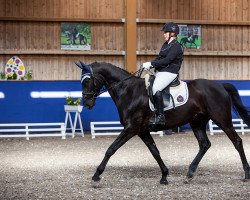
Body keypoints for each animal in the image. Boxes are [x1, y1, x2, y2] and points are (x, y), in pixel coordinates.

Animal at [74, 60, 250, 184]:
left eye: (87, 81)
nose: (87, 103)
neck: (128, 91)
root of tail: (220, 85)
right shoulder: (142, 130)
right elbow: (155, 151)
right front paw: (164, 175)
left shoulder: (131, 128)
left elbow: (111, 149)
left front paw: (97, 175)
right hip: (197, 122)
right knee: (204, 144)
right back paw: (190, 173)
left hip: (221, 119)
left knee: (237, 141)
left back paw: (246, 173)